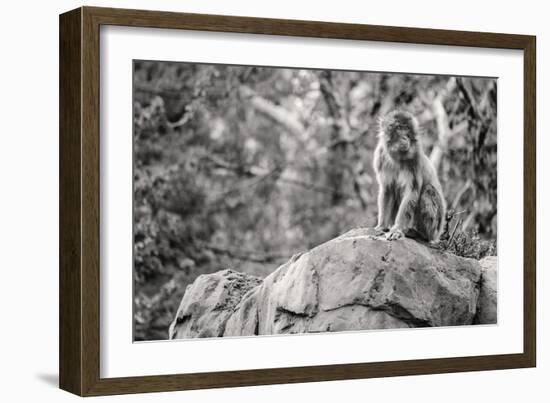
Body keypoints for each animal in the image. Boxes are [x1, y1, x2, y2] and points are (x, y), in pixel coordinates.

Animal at [376, 109, 448, 243]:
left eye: (407, 129)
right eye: (399, 127)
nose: (405, 137)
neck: (397, 158)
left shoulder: (416, 158)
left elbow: (411, 192)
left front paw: (397, 230)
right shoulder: (381, 156)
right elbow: (387, 189)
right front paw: (382, 226)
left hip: (435, 226)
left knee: (428, 190)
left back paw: (419, 233)